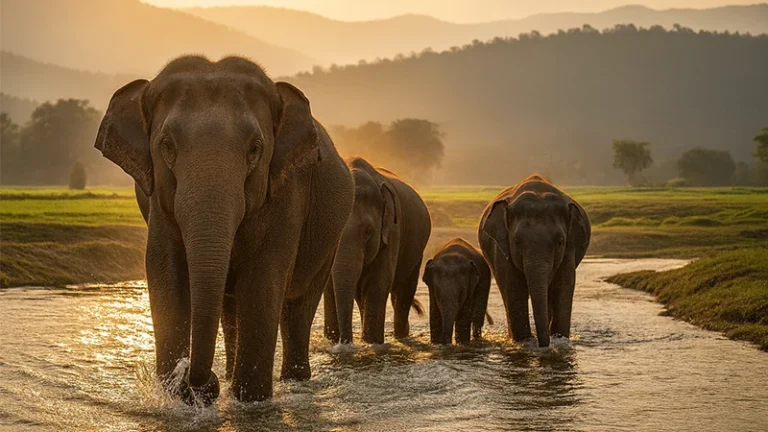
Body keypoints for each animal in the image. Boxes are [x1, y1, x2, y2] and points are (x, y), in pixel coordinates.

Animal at [94, 55, 354, 404]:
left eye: (255, 148)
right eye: (166, 145)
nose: (198, 383)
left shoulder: (287, 192)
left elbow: (263, 280)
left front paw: (251, 401)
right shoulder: (158, 204)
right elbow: (166, 273)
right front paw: (173, 396)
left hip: (331, 236)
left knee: (297, 305)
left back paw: (293, 382)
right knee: (231, 309)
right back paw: (232, 376)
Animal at [323, 157, 431, 345]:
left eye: (368, 232)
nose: (345, 343)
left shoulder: (393, 230)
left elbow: (379, 282)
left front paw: (372, 342)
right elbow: (328, 285)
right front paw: (332, 341)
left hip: (417, 251)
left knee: (402, 293)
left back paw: (401, 336)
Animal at [477, 175, 590, 348]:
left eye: (560, 242)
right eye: (516, 241)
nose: (543, 344)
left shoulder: (570, 247)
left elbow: (564, 284)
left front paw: (559, 339)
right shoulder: (502, 247)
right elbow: (513, 285)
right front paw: (524, 341)